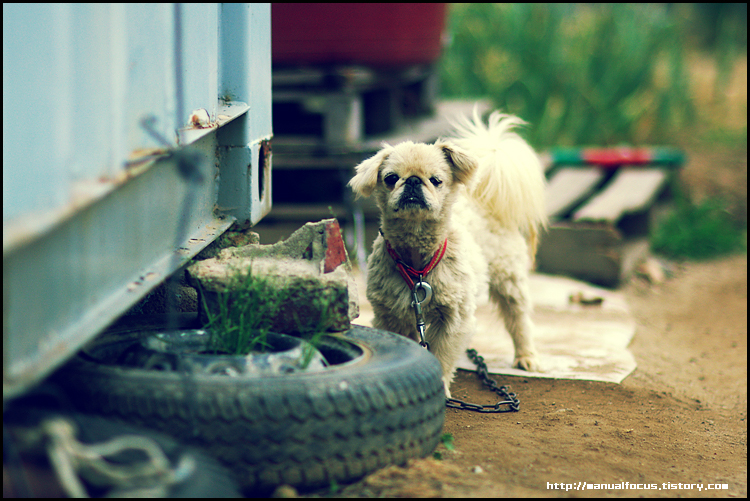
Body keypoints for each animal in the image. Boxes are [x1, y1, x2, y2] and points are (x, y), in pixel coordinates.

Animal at [350, 108, 548, 394]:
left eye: (436, 180)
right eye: (390, 178)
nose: (413, 181)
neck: (417, 259)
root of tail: (483, 200)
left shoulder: (453, 320)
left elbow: (441, 355)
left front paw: (440, 385)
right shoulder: (391, 315)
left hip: (509, 280)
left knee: (518, 319)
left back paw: (526, 357)